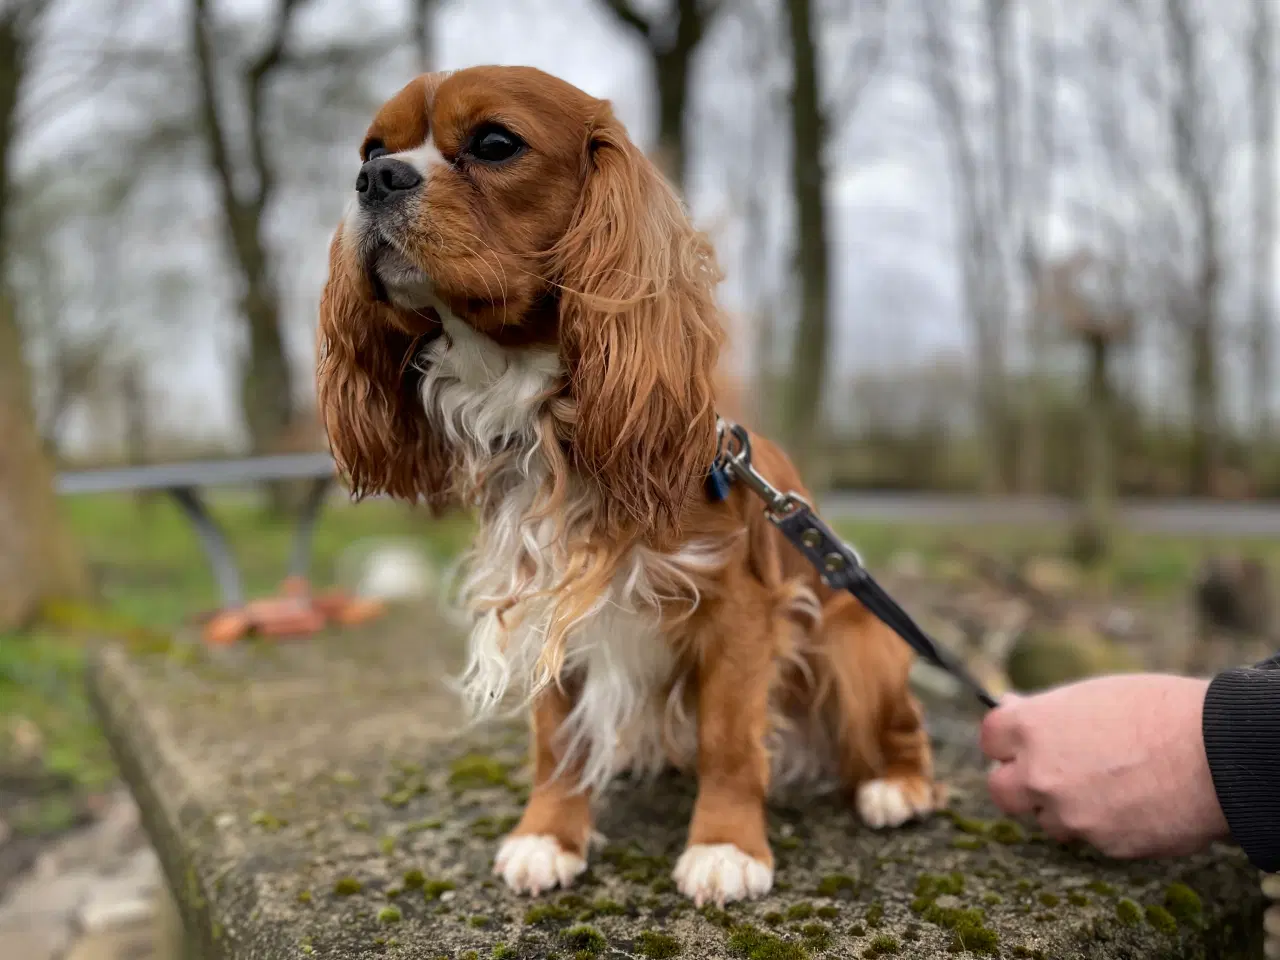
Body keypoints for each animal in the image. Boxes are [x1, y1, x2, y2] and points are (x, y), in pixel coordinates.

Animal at [316, 65, 947, 911]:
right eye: (371, 148)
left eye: (495, 143)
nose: (376, 178)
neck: (548, 419)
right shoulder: (548, 594)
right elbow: (554, 739)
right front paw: (548, 836)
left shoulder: (739, 613)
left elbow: (730, 741)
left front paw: (724, 847)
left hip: (857, 647)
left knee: (902, 730)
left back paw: (896, 787)